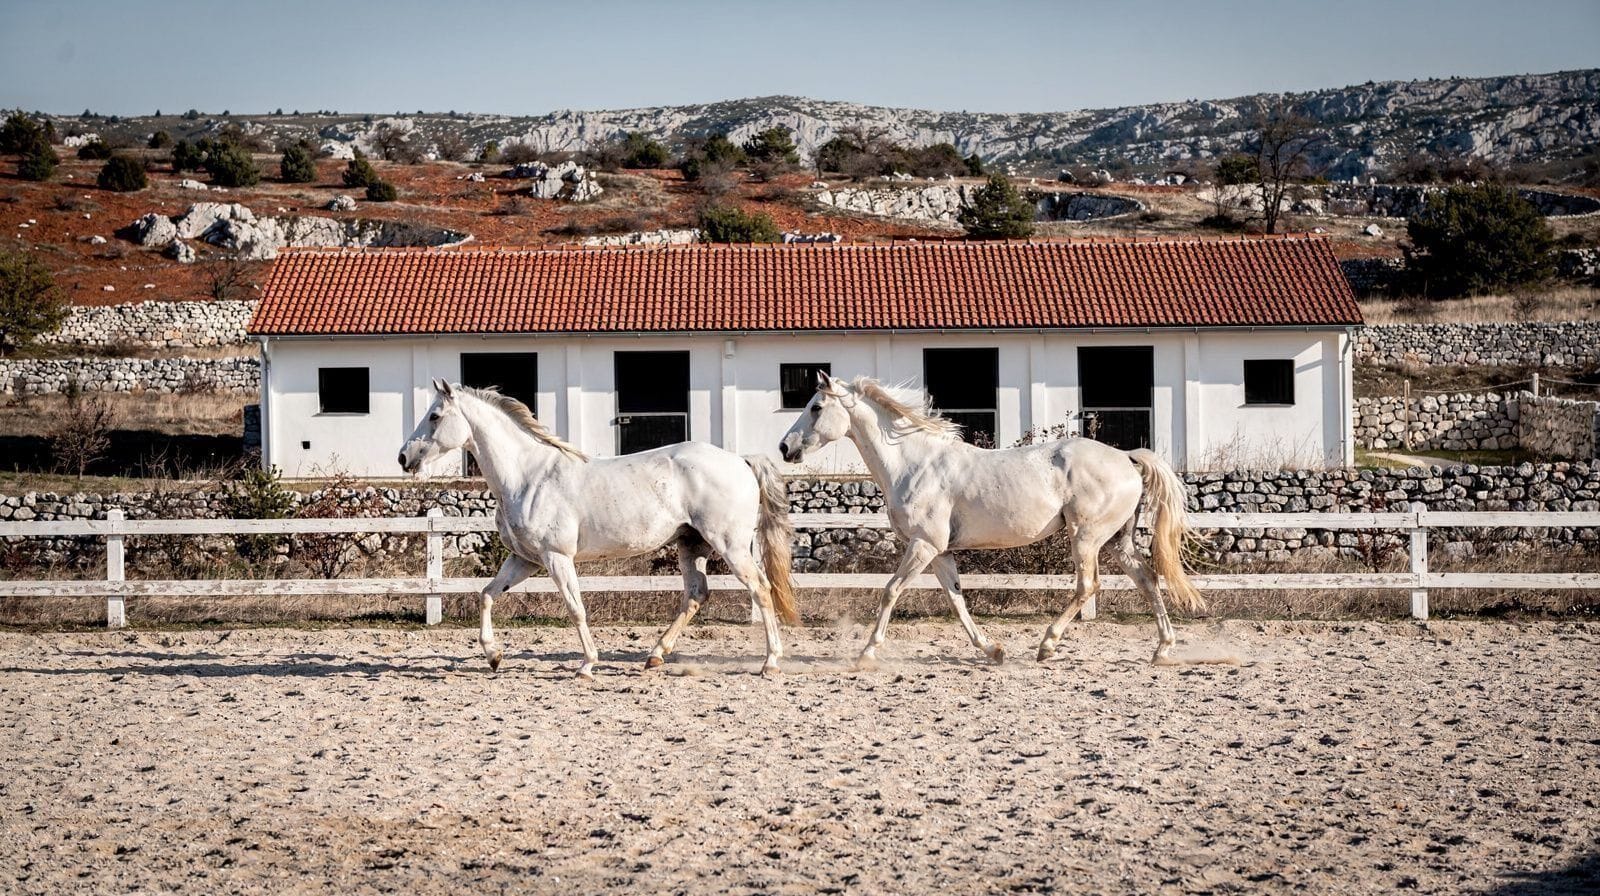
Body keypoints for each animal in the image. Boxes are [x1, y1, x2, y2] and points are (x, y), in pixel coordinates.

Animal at [399, 380, 798, 678]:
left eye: (435, 416)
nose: (404, 457)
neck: (528, 476)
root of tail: (741, 461)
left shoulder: (556, 557)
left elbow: (575, 608)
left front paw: (587, 666)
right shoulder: (525, 560)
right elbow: (486, 595)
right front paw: (494, 656)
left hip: (730, 545)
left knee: (761, 590)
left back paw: (770, 663)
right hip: (692, 545)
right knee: (697, 594)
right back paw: (655, 655)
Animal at [779, 373, 1202, 667]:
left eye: (816, 407)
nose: (785, 447)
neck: (913, 463)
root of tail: (1127, 458)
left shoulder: (923, 544)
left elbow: (891, 591)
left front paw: (866, 654)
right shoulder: (939, 551)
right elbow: (956, 598)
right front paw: (992, 650)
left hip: (1086, 536)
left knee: (1088, 585)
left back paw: (1047, 646)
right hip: (1118, 540)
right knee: (1147, 579)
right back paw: (1162, 649)